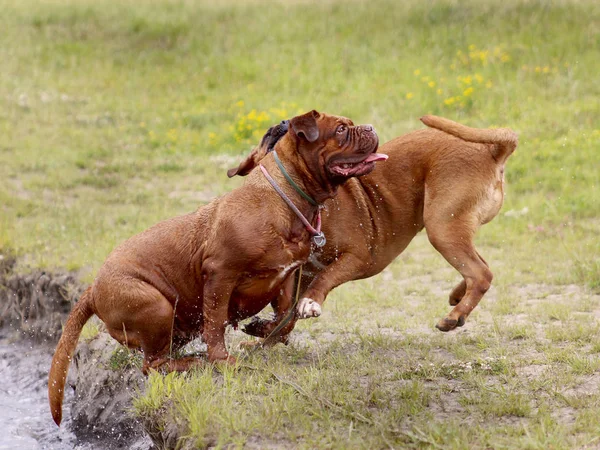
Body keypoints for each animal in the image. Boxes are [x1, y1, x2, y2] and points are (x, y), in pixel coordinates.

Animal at [45, 110, 384, 426]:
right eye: (340, 130)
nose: (370, 126)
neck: (284, 198)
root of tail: (92, 288)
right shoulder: (221, 274)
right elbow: (216, 323)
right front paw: (222, 359)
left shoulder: (288, 276)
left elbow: (285, 320)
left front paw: (263, 331)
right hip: (156, 306)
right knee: (153, 365)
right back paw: (196, 363)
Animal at [236, 115, 520, 342]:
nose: (284, 124)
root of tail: (492, 151)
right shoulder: (298, 276)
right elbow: (286, 319)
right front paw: (264, 333)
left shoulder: (356, 257)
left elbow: (324, 278)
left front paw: (309, 303)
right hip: (454, 229)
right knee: (479, 267)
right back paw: (457, 297)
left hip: (442, 227)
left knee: (481, 274)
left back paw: (454, 316)